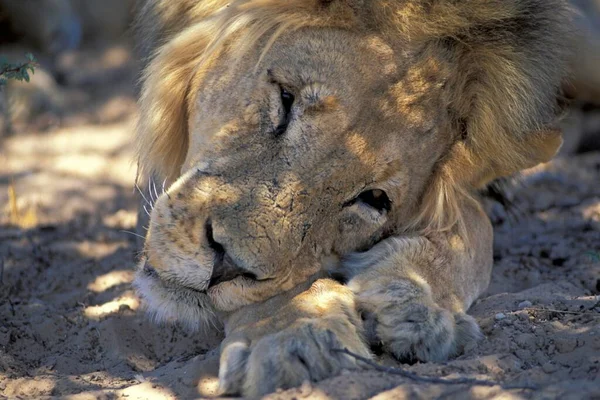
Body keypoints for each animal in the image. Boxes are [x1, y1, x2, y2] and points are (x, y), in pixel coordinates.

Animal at [130, 0, 568, 396]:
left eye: (373, 198)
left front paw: (415, 309)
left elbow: (474, 234)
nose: (224, 267)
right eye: (286, 99)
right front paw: (295, 338)